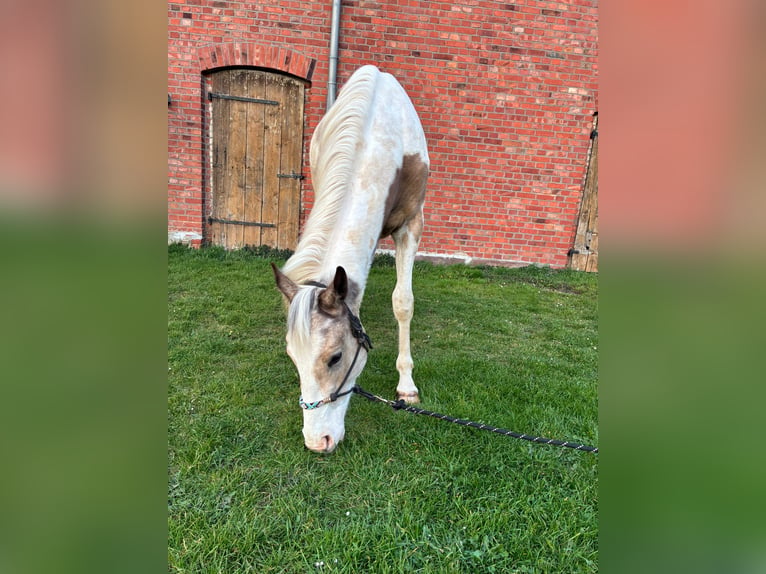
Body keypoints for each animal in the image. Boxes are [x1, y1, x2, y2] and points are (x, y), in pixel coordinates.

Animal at [271, 65, 429, 454]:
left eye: (335, 358)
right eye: (292, 357)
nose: (318, 441)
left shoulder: (411, 225)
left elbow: (403, 302)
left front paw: (407, 386)